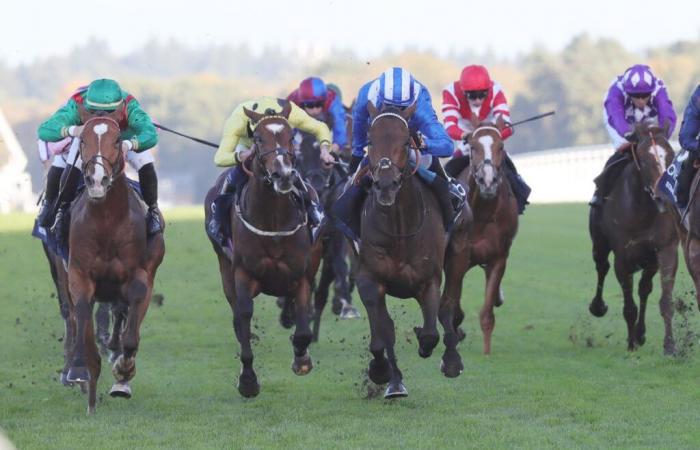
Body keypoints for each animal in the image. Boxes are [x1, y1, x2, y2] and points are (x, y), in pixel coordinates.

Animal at [63, 106, 167, 414]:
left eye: (118, 139)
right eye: (82, 140)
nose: (97, 180)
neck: (107, 220)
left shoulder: (139, 278)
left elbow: (130, 337)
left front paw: (123, 373)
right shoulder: (79, 275)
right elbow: (83, 321)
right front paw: (82, 375)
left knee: (123, 318)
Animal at [202, 101, 322, 398]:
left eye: (291, 137)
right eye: (257, 139)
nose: (283, 175)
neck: (273, 219)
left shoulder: (301, 272)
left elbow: (303, 324)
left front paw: (302, 359)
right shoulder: (243, 274)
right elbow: (244, 315)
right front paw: (248, 380)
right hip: (224, 268)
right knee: (237, 314)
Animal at [352, 101, 452, 398]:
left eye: (406, 141)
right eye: (370, 141)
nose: (385, 185)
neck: (399, 230)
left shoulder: (428, 280)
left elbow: (431, 333)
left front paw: (423, 341)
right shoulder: (369, 279)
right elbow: (383, 333)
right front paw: (384, 373)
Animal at [442, 118, 520, 358]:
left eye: (501, 147)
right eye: (473, 146)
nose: (488, 181)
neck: (482, 213)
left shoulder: (498, 258)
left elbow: (487, 314)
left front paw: (486, 352)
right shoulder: (457, 258)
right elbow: (453, 304)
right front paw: (455, 333)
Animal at [588, 121, 680, 354]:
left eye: (671, 156)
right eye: (644, 159)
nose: (663, 196)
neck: (644, 209)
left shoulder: (665, 249)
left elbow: (665, 300)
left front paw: (670, 346)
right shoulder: (623, 256)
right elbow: (629, 306)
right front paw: (631, 344)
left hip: (650, 259)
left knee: (644, 288)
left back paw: (641, 333)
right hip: (599, 244)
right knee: (601, 267)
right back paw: (598, 307)